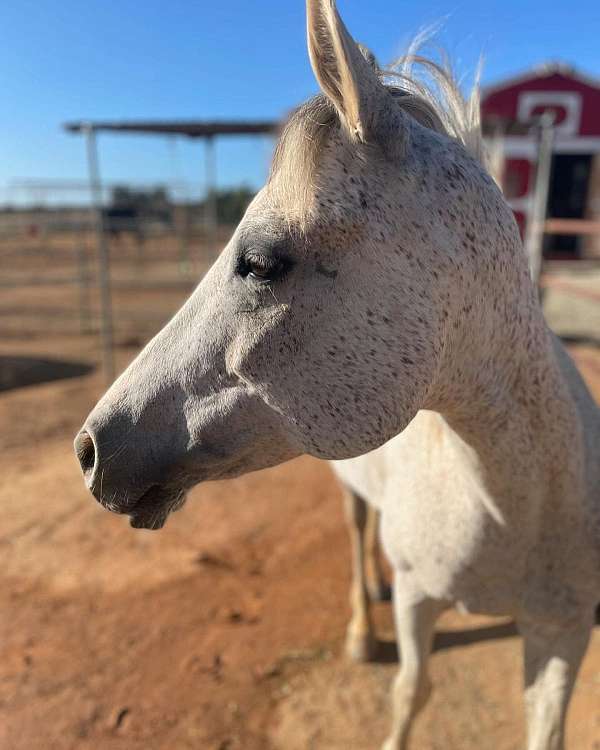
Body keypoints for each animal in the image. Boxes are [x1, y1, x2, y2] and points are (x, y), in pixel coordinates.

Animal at [75, 2, 600, 748]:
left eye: (261, 261)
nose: (90, 448)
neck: (514, 501)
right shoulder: (419, 601)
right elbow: (411, 691)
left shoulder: (564, 631)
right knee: (356, 532)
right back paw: (361, 623)